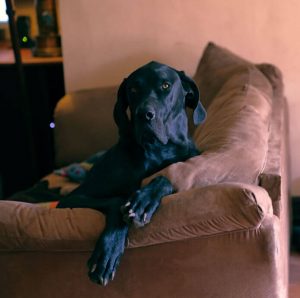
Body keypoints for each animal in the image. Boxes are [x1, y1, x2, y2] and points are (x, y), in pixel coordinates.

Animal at [56, 61, 206, 286]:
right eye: (133, 90)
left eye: (165, 85)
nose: (143, 115)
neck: (157, 151)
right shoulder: (70, 199)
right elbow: (117, 199)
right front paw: (108, 252)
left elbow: (165, 178)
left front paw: (143, 202)